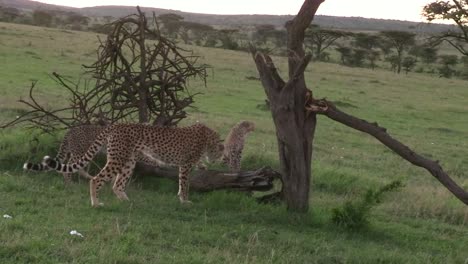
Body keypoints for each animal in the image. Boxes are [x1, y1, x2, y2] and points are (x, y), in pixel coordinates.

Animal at [43, 122, 224, 207]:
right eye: (220, 152)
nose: (219, 159)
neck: (207, 136)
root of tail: (117, 124)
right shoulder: (185, 165)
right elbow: (184, 184)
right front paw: (185, 201)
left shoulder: (184, 165)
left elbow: (183, 182)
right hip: (117, 159)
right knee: (96, 179)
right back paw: (95, 202)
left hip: (128, 161)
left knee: (117, 184)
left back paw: (126, 201)